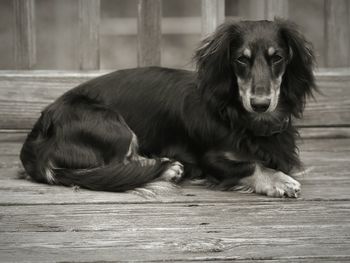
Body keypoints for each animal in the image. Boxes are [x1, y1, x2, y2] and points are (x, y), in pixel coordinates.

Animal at [20, 19, 316, 198]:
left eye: (277, 58)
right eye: (241, 60)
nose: (260, 104)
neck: (239, 116)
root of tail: (38, 135)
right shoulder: (211, 159)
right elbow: (251, 165)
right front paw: (279, 180)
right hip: (111, 124)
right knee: (116, 166)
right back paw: (165, 168)